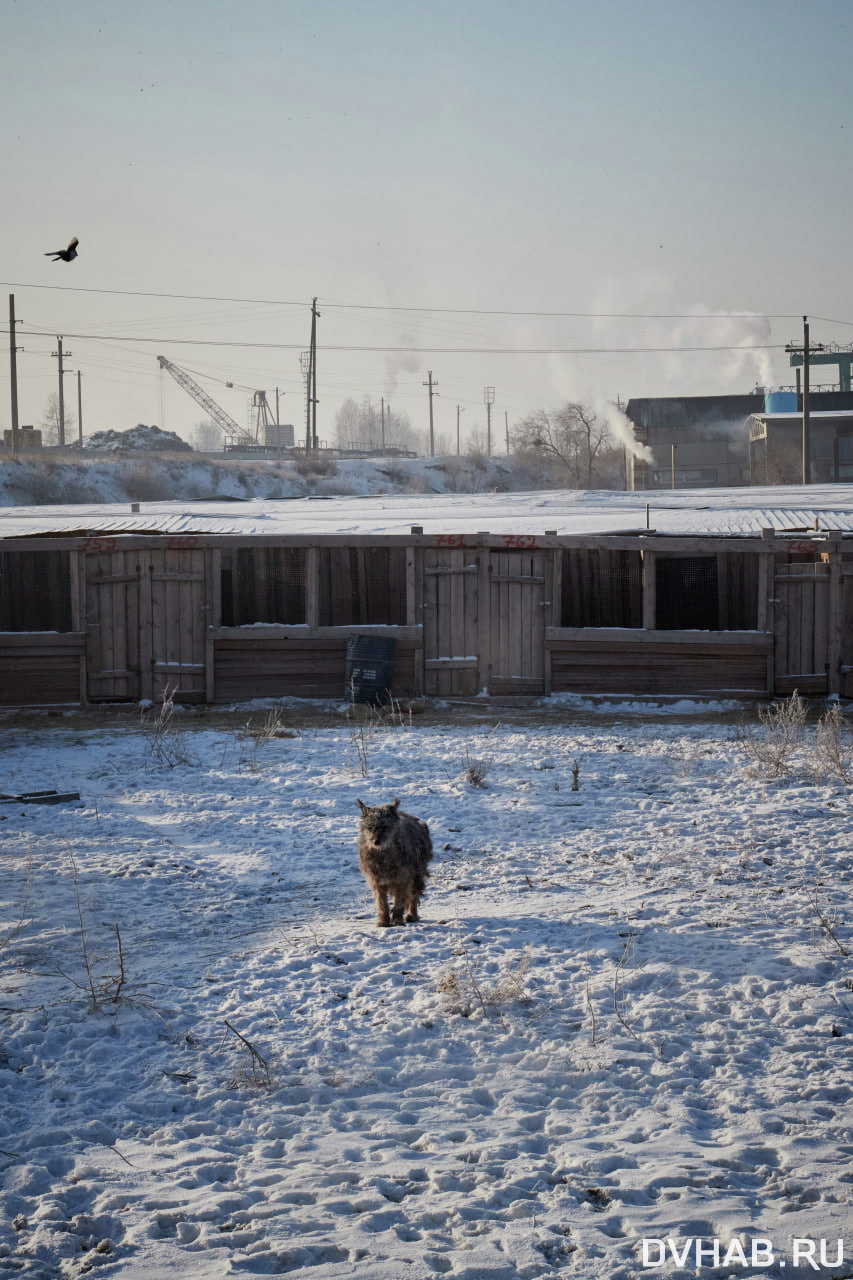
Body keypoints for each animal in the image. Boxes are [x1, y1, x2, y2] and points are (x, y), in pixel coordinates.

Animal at [356, 793, 432, 926]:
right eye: (370, 827)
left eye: (385, 827)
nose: (376, 841)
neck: (383, 854)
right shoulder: (376, 881)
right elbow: (381, 902)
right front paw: (383, 920)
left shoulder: (403, 879)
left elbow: (400, 901)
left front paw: (396, 919)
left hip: (417, 874)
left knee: (414, 894)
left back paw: (412, 915)